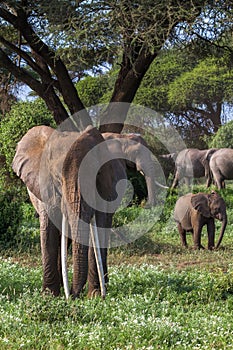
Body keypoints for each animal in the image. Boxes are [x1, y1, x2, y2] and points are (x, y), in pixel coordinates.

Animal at [12, 125, 124, 298]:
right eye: (58, 178)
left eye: (97, 175)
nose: (72, 294)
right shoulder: (45, 187)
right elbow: (49, 230)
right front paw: (49, 295)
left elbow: (98, 228)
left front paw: (95, 296)